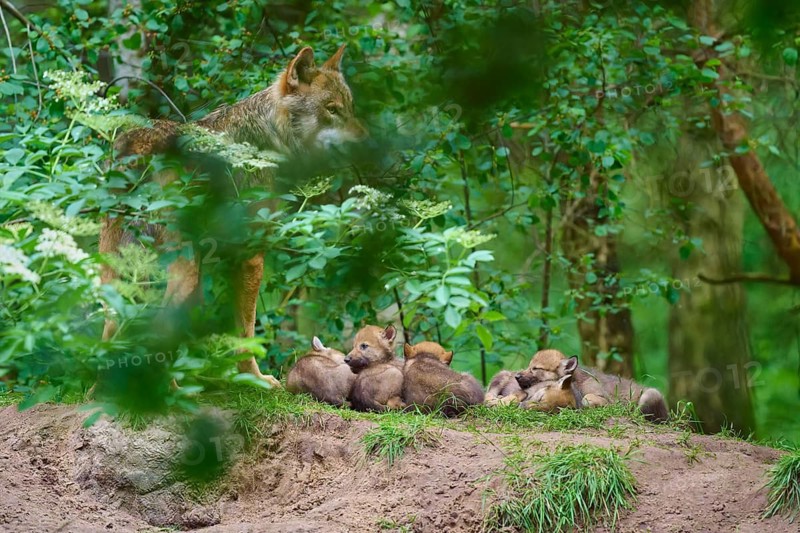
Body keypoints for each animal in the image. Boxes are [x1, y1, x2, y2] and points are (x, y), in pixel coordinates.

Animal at [101, 45, 366, 387]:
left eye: (350, 107)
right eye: (331, 109)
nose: (369, 141)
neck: (270, 134)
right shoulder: (251, 255)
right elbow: (247, 331)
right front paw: (257, 379)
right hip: (182, 272)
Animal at [516, 349, 669, 422]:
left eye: (535, 368)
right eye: (529, 366)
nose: (516, 376)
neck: (577, 381)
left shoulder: (605, 400)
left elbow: (587, 399)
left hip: (650, 395)